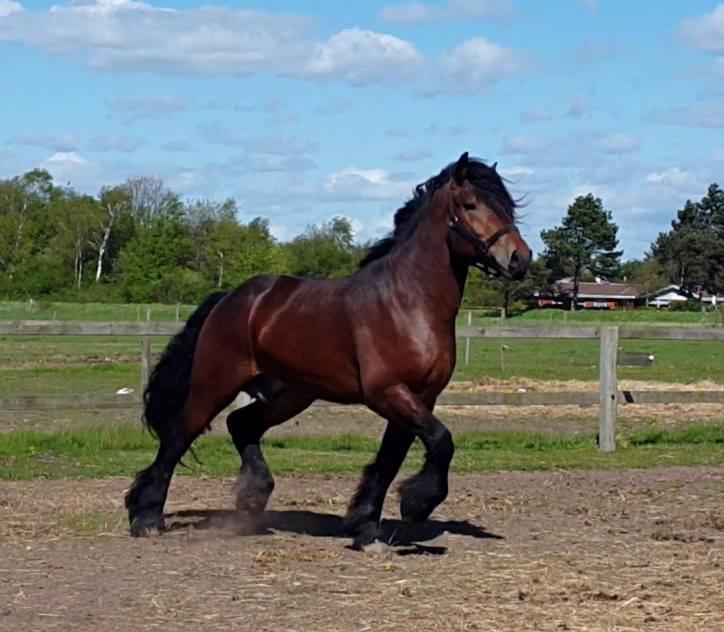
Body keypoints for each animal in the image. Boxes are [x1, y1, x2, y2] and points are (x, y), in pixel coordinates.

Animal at [124, 153, 532, 548]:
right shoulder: (388, 393)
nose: (520, 258)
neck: (409, 302)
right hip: (216, 385)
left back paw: (253, 497)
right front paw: (416, 504)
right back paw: (147, 518)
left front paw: (366, 527)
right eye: (471, 204)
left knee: (240, 424)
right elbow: (441, 442)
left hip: (291, 394)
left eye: (507, 206)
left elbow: (392, 459)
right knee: (177, 439)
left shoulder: (420, 397)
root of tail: (231, 299)